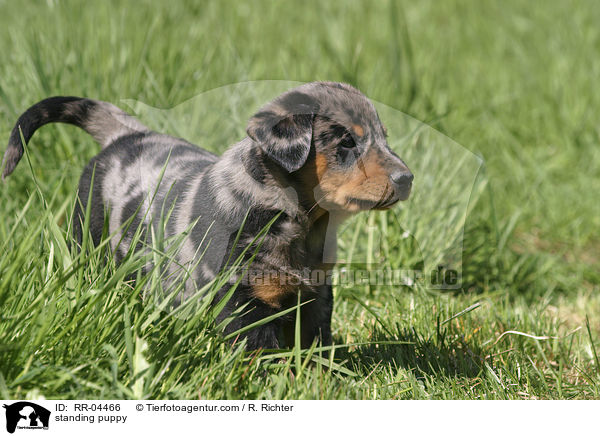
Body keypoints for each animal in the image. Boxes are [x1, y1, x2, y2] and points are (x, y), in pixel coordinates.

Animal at [1, 82, 412, 350]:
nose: (407, 179)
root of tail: (127, 135)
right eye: (347, 142)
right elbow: (262, 357)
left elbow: (315, 353)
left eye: (384, 138)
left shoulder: (315, 297)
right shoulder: (244, 300)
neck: (299, 222)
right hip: (90, 244)